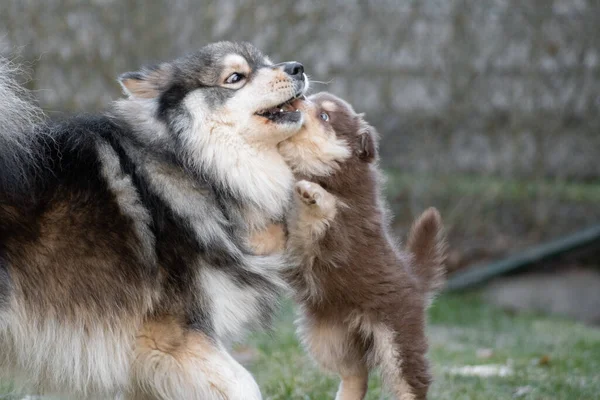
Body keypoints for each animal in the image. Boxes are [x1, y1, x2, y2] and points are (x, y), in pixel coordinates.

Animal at [0, 42, 308, 398]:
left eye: (269, 62)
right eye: (235, 77)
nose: (297, 68)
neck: (190, 165)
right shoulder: (172, 337)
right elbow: (244, 384)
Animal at [276, 93, 446, 400]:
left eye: (325, 116)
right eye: (311, 98)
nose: (300, 96)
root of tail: (415, 281)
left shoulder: (338, 233)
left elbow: (324, 209)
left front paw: (313, 193)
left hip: (397, 338)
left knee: (410, 383)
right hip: (330, 339)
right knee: (356, 374)